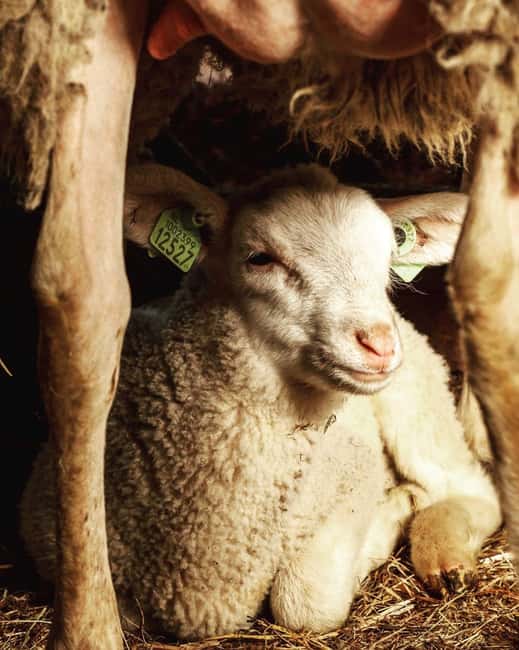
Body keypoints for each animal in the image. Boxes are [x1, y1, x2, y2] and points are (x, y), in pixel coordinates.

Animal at [20, 164, 502, 640]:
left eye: (387, 261)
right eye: (260, 258)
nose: (379, 343)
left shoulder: (355, 473)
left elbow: (306, 603)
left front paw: (390, 517)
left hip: (415, 400)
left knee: (471, 488)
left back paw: (443, 552)